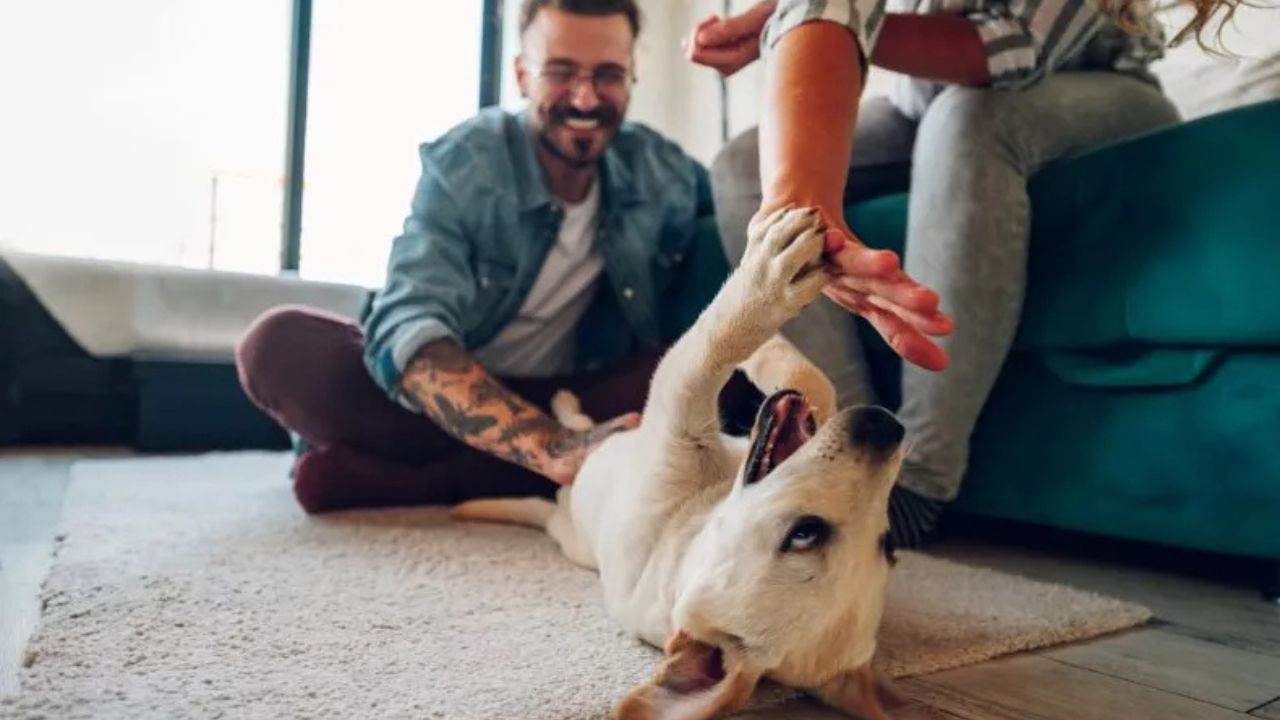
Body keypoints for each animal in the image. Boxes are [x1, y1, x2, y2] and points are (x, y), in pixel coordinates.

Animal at [455, 206, 916, 717]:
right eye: (891, 546)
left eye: (803, 534)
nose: (885, 426)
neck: (698, 512)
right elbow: (810, 381)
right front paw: (776, 336)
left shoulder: (676, 410)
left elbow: (711, 343)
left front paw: (768, 276)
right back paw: (567, 404)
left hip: (570, 535)